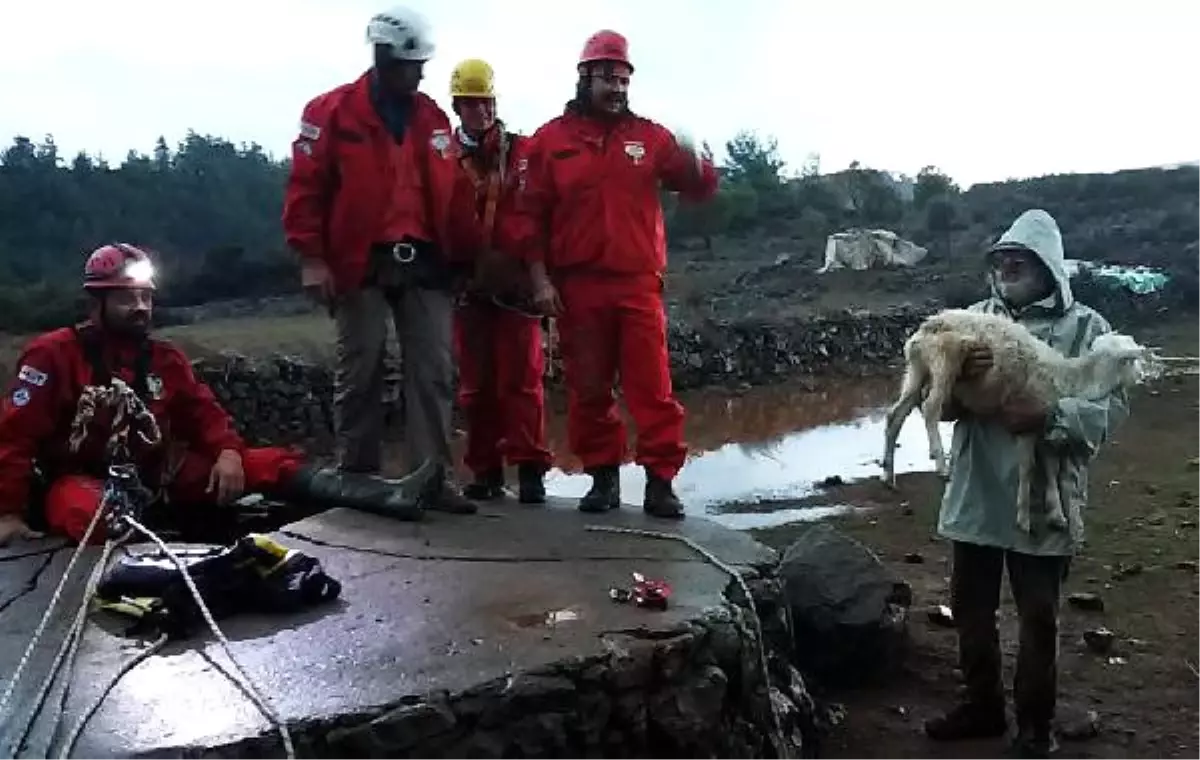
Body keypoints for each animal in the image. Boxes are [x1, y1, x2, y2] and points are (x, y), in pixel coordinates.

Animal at [883, 307, 1152, 533]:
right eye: (1131, 360)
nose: (1141, 377)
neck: (1069, 377)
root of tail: (925, 329)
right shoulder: (1025, 424)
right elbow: (1027, 468)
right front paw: (1023, 519)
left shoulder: (1045, 428)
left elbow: (1051, 468)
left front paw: (1056, 515)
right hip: (946, 358)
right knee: (930, 407)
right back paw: (940, 463)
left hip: (918, 370)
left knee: (895, 414)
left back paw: (888, 473)